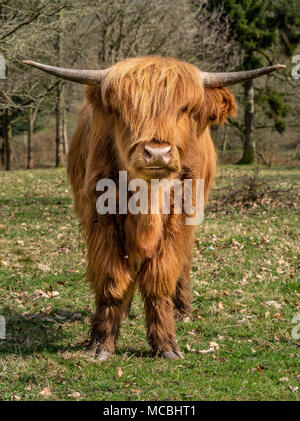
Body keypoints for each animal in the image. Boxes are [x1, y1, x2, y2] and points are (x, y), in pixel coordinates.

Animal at [24, 55, 286, 358]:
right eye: (122, 110)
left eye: (184, 108)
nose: (157, 153)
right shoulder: (101, 215)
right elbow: (112, 278)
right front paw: (102, 342)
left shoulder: (178, 217)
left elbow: (160, 276)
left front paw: (166, 343)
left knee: (184, 261)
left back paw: (182, 308)